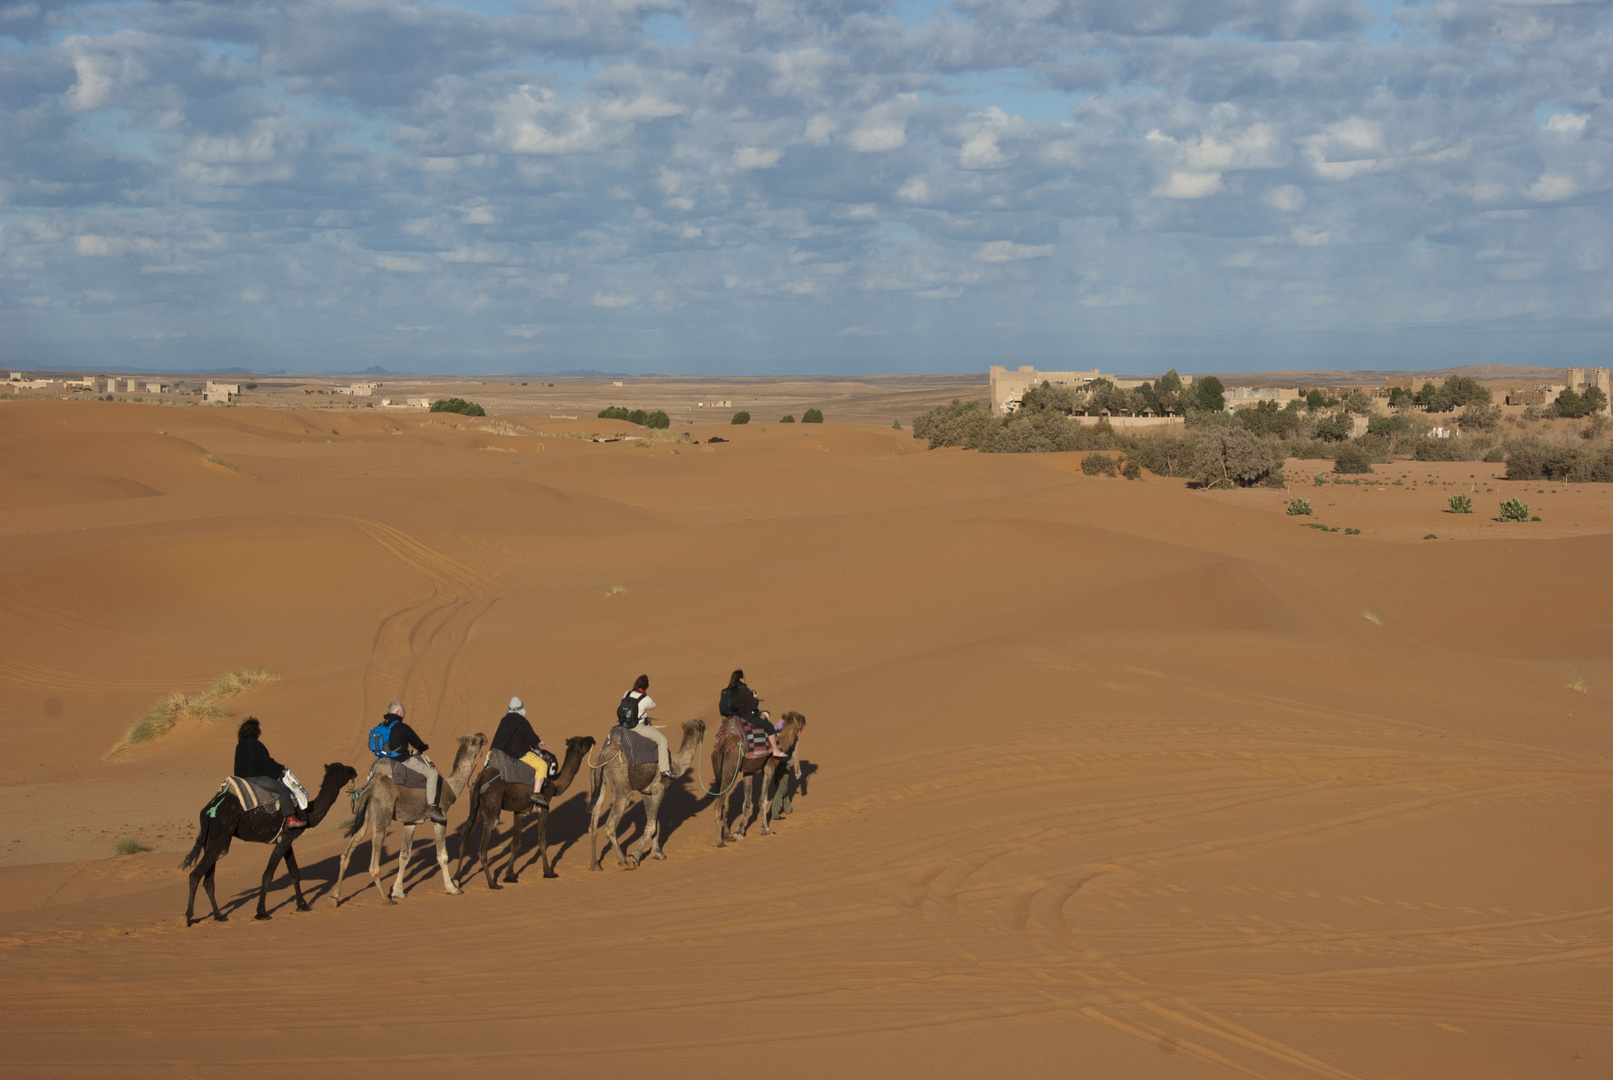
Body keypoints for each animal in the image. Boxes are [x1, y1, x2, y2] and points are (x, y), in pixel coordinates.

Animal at [181, 760, 361, 928]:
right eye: (342, 770)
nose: (354, 770)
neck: (307, 812)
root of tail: (208, 810)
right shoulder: (285, 839)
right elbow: (268, 874)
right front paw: (261, 912)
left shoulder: (287, 839)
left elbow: (294, 873)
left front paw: (302, 905)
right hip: (222, 836)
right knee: (195, 874)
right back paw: (187, 917)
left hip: (212, 839)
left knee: (208, 879)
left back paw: (219, 916)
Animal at [325, 735, 477, 902]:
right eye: (476, 740)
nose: (484, 736)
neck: (450, 787)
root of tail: (369, 788)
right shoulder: (441, 817)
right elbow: (442, 855)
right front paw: (453, 888)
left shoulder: (410, 821)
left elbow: (404, 855)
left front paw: (398, 891)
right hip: (382, 817)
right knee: (374, 861)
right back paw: (385, 899)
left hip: (363, 815)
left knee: (348, 851)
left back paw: (334, 897)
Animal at [458, 731, 596, 889]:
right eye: (583, 742)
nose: (592, 739)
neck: (555, 784)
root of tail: (481, 778)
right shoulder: (544, 806)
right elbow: (542, 840)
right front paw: (548, 872)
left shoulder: (519, 811)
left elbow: (515, 843)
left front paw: (510, 875)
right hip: (492, 807)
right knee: (482, 849)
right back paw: (492, 884)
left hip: (476, 807)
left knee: (464, 841)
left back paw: (456, 881)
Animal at [583, 722, 703, 876]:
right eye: (701, 726)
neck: (675, 764)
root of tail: (602, 756)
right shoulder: (659, 788)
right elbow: (651, 825)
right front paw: (635, 856)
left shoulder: (647, 792)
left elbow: (654, 822)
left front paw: (658, 854)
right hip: (620, 782)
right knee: (611, 823)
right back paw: (623, 861)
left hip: (596, 778)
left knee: (594, 820)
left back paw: (595, 865)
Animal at [712, 715, 806, 851]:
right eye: (801, 719)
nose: (805, 721)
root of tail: (723, 744)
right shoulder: (769, 765)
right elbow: (763, 800)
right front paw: (766, 830)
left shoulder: (749, 770)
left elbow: (747, 803)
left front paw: (739, 832)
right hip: (730, 769)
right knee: (718, 806)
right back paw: (720, 842)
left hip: (717, 771)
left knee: (722, 801)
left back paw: (727, 835)